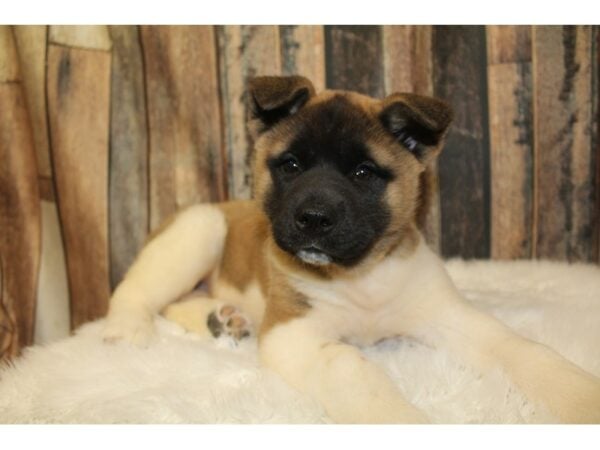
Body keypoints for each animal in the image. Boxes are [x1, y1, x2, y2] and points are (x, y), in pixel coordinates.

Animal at [103, 75, 600, 424]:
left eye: (363, 173)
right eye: (291, 165)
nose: (313, 219)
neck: (360, 275)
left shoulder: (451, 318)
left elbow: (523, 350)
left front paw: (581, 398)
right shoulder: (292, 333)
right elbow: (351, 368)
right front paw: (402, 422)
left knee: (176, 302)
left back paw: (220, 319)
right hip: (199, 227)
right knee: (137, 293)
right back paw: (126, 331)